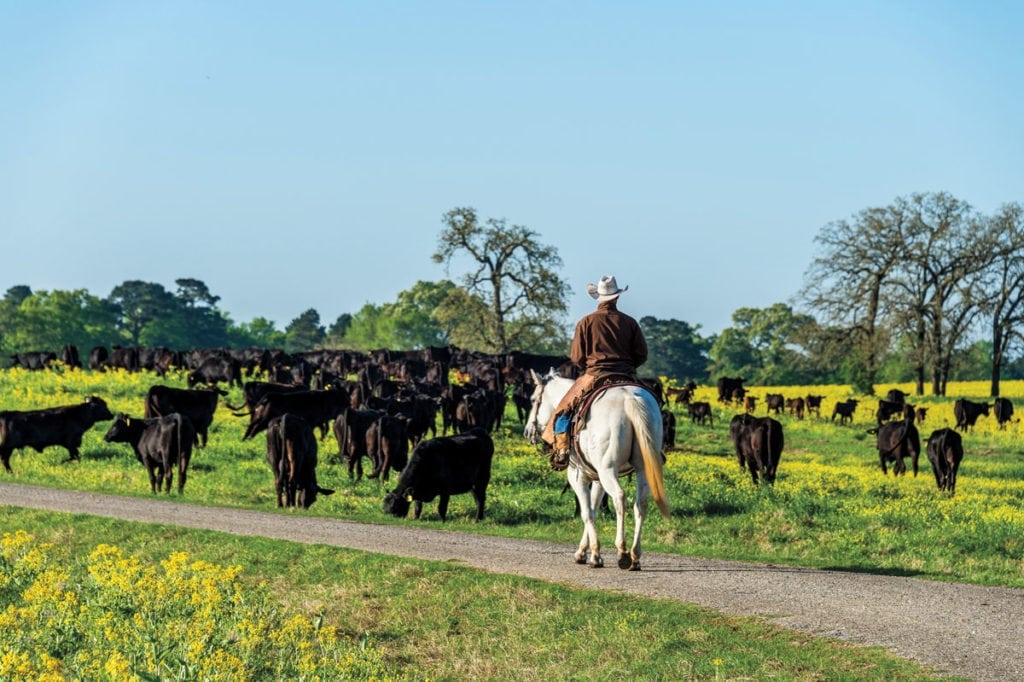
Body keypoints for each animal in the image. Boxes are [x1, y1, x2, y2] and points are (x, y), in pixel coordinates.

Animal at [524, 368, 667, 565]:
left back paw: (622, 551)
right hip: (642, 470)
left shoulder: (578, 477)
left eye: (532, 399)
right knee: (641, 503)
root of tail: (630, 399)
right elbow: (594, 508)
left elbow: (587, 512)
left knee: (620, 497)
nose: (527, 431)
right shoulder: (598, 479)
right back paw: (635, 555)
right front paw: (586, 552)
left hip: (608, 471)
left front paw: (595, 554)